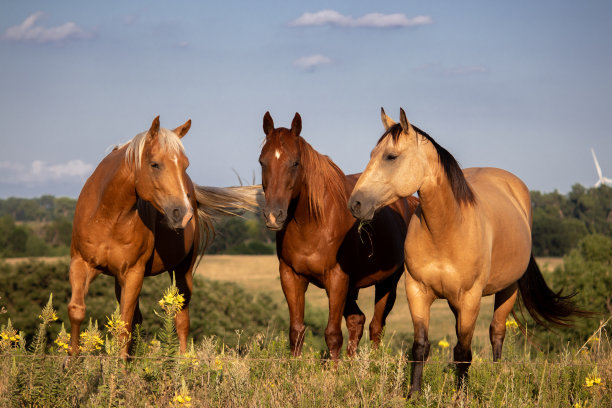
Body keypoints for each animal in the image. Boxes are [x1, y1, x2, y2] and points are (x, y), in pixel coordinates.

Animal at [67, 115, 258, 356]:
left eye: (185, 165)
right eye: (155, 164)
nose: (183, 214)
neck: (108, 217)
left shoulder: (133, 273)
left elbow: (125, 324)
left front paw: (119, 366)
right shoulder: (81, 263)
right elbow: (77, 310)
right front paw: (71, 361)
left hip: (182, 271)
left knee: (181, 320)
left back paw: (184, 361)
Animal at [258, 112, 420, 360]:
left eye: (295, 163)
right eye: (262, 162)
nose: (274, 216)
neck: (314, 224)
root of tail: (408, 201)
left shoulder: (336, 279)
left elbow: (333, 335)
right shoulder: (291, 276)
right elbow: (296, 332)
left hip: (387, 282)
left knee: (376, 327)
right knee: (357, 320)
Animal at [346, 108, 584, 396]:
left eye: (391, 156)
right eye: (372, 154)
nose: (355, 203)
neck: (446, 230)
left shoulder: (470, 297)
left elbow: (463, 351)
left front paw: (461, 395)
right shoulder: (417, 291)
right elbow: (420, 346)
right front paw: (414, 394)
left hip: (508, 290)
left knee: (496, 332)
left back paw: (497, 377)